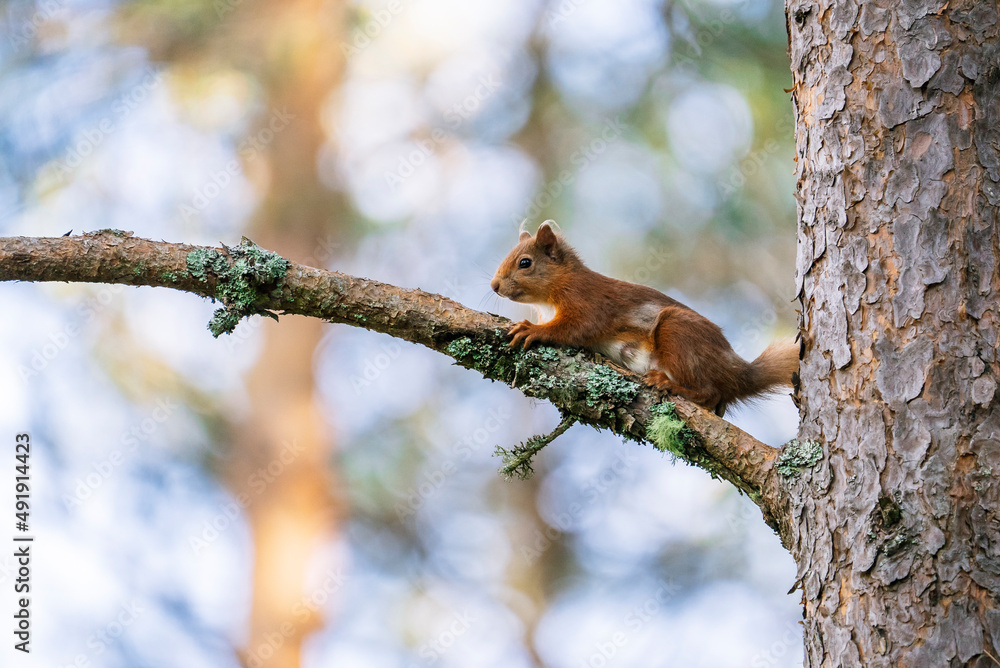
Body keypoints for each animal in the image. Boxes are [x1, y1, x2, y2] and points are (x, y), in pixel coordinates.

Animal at [488, 222, 800, 414]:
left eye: (525, 263)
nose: (494, 286)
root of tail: (736, 373)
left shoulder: (588, 302)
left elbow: (574, 328)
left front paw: (531, 329)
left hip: (678, 333)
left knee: (709, 392)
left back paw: (669, 384)